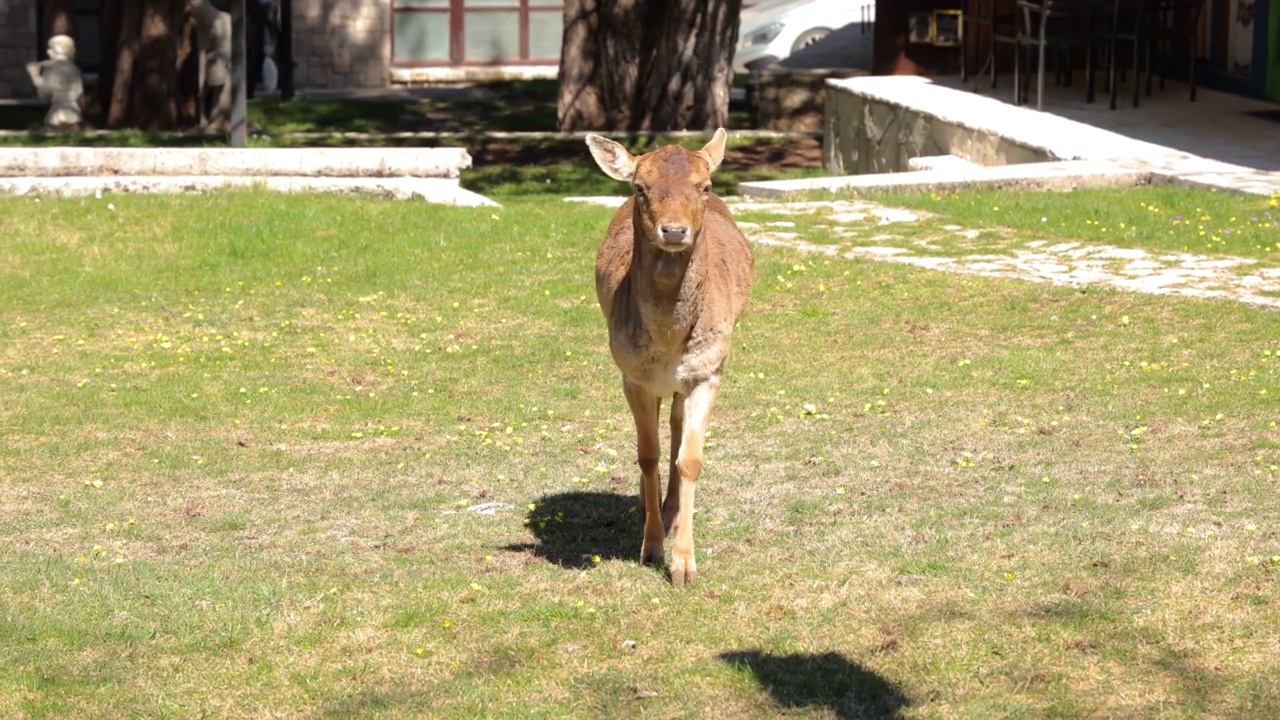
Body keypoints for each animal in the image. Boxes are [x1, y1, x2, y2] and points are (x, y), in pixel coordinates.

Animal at [586, 128, 752, 584]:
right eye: (640, 188)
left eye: (705, 186)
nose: (674, 230)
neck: (668, 341)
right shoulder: (631, 374)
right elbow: (648, 454)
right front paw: (650, 548)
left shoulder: (709, 370)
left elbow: (690, 458)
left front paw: (683, 566)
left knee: (677, 428)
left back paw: (672, 508)